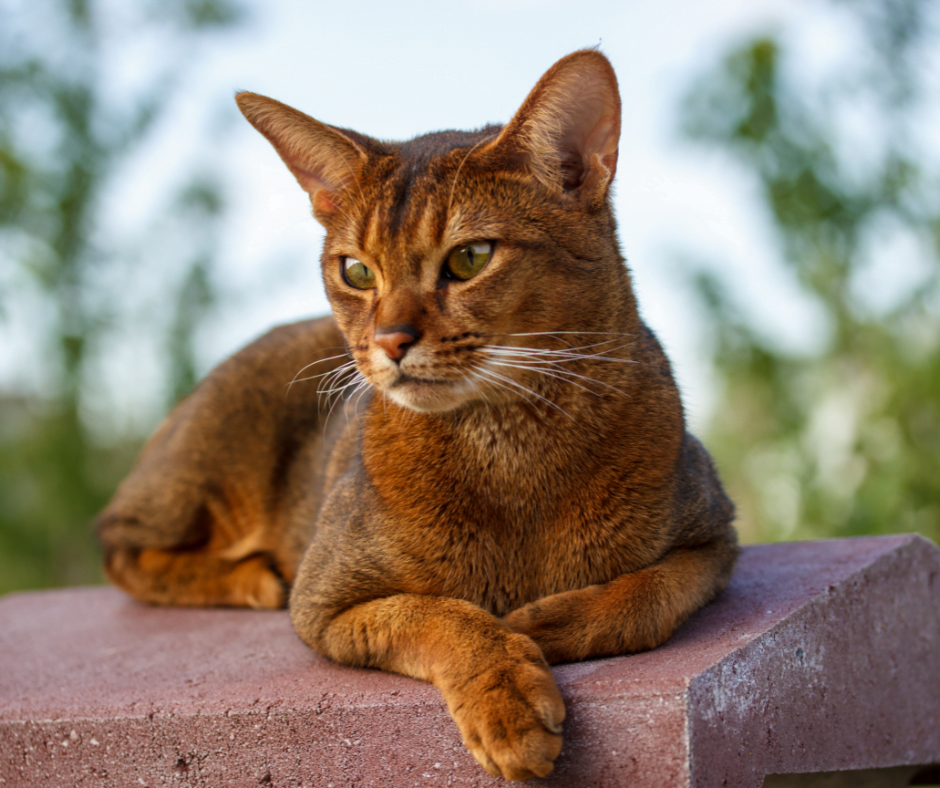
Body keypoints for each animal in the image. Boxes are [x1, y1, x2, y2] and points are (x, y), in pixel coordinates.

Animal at [97, 50, 740, 780]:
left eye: (470, 257)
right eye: (355, 270)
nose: (389, 341)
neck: (510, 447)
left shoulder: (714, 537)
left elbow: (645, 595)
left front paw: (545, 624)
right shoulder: (326, 599)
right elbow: (438, 615)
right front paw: (507, 697)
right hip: (205, 469)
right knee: (117, 542)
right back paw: (251, 577)